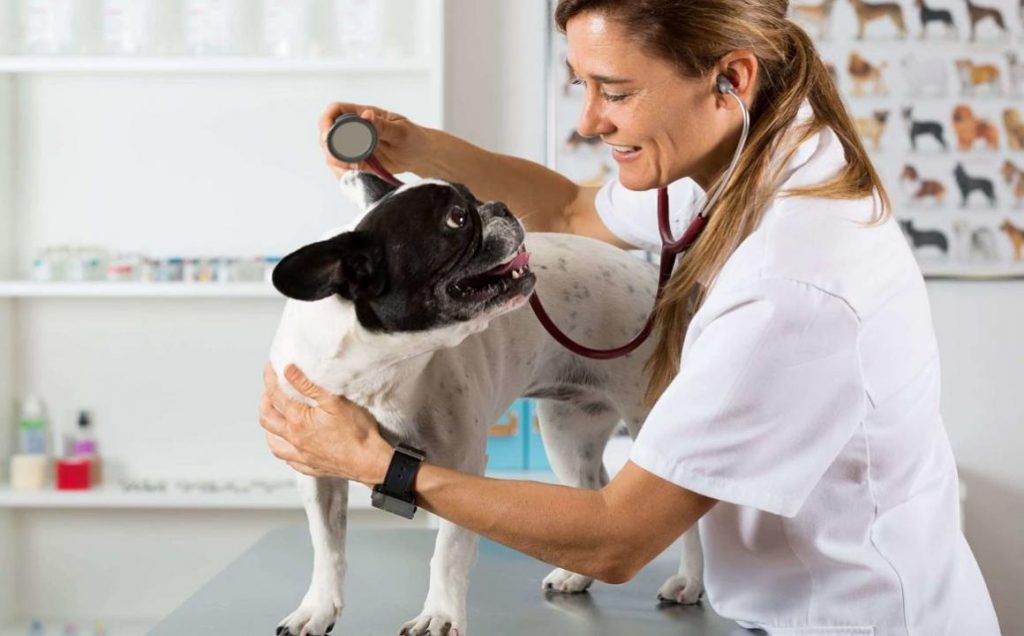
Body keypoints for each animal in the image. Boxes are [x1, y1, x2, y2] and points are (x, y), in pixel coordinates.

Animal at [266, 174, 704, 634]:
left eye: (472, 196)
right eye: (457, 219)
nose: (499, 206)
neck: (382, 369)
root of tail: (654, 277)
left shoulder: (458, 472)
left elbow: (448, 553)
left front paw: (439, 615)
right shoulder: (316, 471)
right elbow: (326, 546)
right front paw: (317, 609)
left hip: (647, 417)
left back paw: (688, 581)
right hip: (567, 438)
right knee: (593, 499)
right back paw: (576, 575)